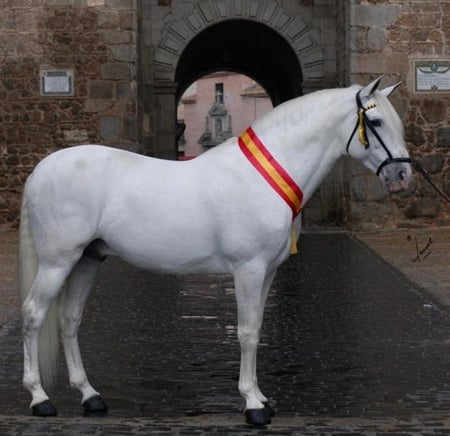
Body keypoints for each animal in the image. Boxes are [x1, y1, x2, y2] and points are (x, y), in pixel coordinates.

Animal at [19, 76, 414, 424]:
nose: (403, 177)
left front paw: (262, 399)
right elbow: (247, 332)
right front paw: (252, 404)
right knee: (34, 314)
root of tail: (40, 170)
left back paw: (90, 396)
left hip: (88, 259)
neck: (264, 176)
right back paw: (40, 398)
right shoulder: (248, 269)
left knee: (69, 320)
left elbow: (257, 328)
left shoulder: (268, 271)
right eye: (375, 121)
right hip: (58, 262)